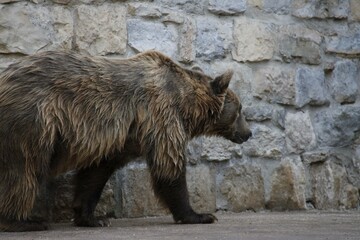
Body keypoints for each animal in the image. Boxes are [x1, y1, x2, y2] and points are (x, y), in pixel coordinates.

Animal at [0, 50, 252, 231]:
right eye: (240, 109)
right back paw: (23, 222)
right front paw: (199, 215)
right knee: (24, 170)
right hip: (34, 120)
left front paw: (93, 217)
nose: (248, 133)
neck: (186, 105)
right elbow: (169, 166)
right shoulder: (161, 114)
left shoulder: (122, 138)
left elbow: (95, 173)